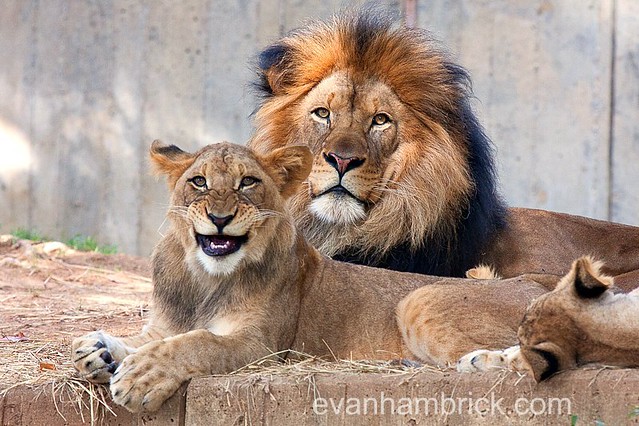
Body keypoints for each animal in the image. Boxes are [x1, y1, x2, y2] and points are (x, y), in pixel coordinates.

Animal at [72, 141, 544, 412]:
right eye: (199, 182)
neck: (205, 277)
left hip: (420, 301)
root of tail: (536, 281)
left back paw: (481, 361)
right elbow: (140, 337)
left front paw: (138, 376)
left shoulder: (260, 346)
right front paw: (97, 351)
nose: (220, 219)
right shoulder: (163, 325)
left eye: (247, 183)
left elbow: (197, 342)